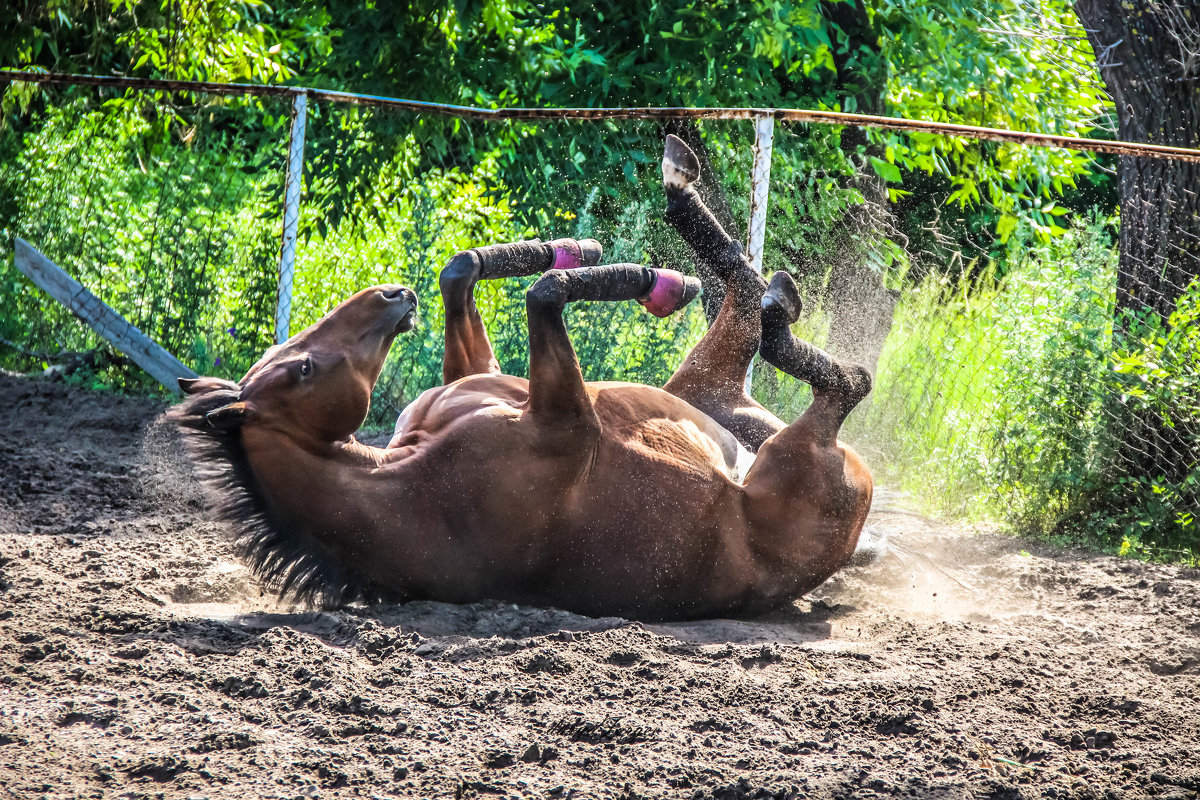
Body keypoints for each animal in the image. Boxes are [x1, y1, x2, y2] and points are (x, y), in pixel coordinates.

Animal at [175, 137, 873, 623]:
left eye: (288, 356)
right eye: (305, 369)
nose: (390, 296)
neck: (408, 489)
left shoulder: (479, 376)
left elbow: (464, 271)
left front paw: (572, 249)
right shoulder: (565, 416)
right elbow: (543, 296)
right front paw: (636, 276)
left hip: (709, 394)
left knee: (755, 309)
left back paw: (743, 268)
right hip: (796, 447)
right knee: (835, 376)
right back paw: (706, 259)